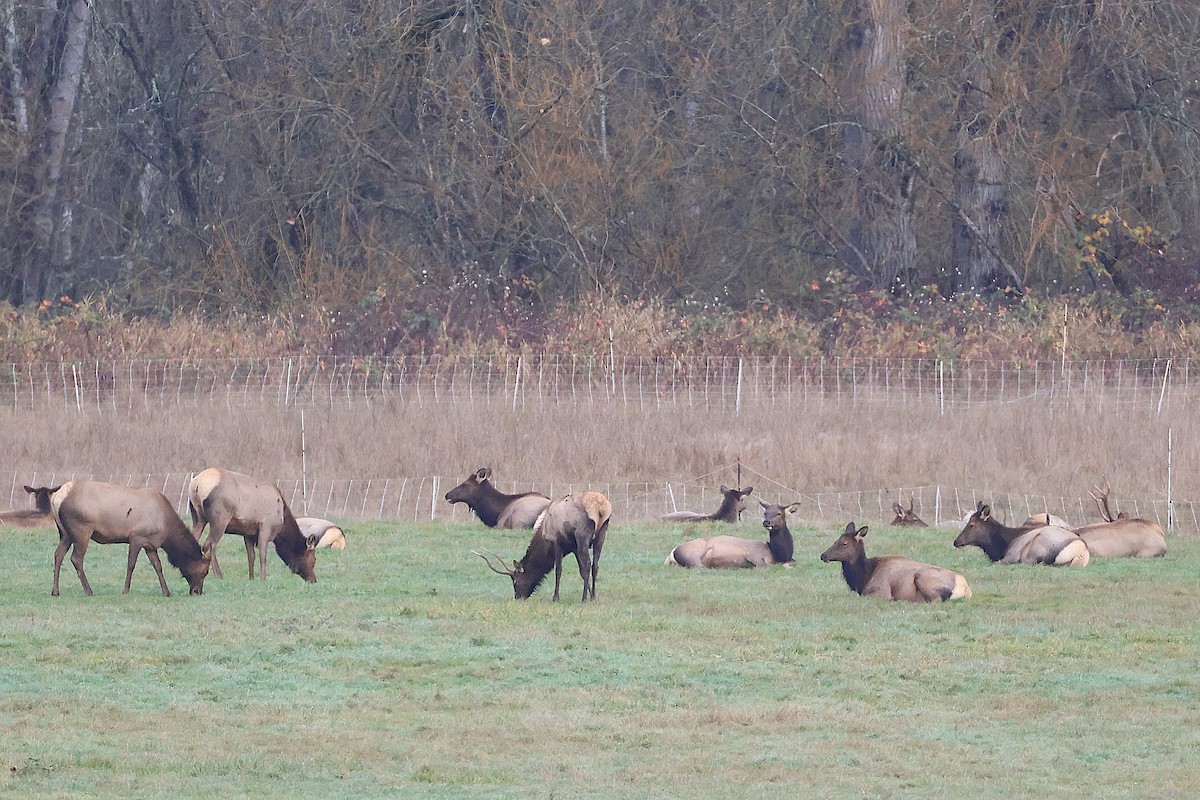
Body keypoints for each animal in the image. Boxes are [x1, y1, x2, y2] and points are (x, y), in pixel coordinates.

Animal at [50, 480, 212, 597]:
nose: (197, 592)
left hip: (65, 533)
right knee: (76, 558)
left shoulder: (150, 544)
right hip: (81, 530)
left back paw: (55, 591)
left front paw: (166, 592)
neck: (166, 529)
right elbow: (131, 564)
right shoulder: (136, 537)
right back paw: (89, 591)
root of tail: (57, 497)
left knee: (58, 555)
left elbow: (158, 566)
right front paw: (125, 590)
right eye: (205, 571)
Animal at [188, 467, 317, 582]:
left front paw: (251, 579)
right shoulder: (266, 526)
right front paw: (263, 579)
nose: (313, 580)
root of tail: (196, 484)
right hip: (220, 519)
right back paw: (219, 576)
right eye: (314, 559)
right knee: (209, 545)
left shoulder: (248, 533)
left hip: (198, 518)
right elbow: (262, 554)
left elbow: (251, 556)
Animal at [475, 491, 610, 602]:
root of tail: (601, 507)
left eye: (515, 580)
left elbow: (558, 570)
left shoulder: (556, 542)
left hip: (582, 535)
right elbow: (581, 570)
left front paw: (556, 597)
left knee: (588, 564)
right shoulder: (574, 547)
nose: (518, 597)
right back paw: (592, 597)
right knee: (595, 565)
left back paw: (584, 599)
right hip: (601, 534)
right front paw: (591, 593)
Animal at [665, 499, 799, 568]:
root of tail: (672, 553)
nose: (766, 522)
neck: (779, 554)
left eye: (779, 513)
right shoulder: (755, 556)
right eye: (765, 513)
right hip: (693, 555)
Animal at [821, 522, 971, 602]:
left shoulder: (881, 592)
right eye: (835, 541)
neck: (863, 578)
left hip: (923, 577)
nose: (823, 555)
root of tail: (965, 589)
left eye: (844, 544)